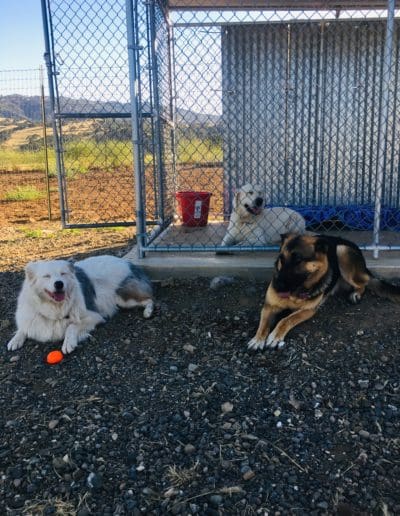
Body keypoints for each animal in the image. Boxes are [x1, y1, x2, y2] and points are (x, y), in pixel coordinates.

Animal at [8, 255, 155, 354]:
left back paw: (148, 312)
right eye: (46, 276)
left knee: (150, 299)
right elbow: (23, 328)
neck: (54, 308)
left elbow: (71, 326)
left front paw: (69, 343)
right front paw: (15, 340)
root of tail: (128, 262)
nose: (59, 284)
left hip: (122, 298)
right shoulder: (30, 319)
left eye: (63, 273)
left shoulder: (94, 316)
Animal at [247, 234, 400, 350]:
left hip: (342, 251)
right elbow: (263, 324)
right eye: (281, 259)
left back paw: (356, 293)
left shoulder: (308, 310)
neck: (295, 294)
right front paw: (258, 339)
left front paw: (275, 335)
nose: (277, 286)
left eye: (298, 260)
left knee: (364, 283)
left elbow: (286, 319)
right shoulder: (269, 306)